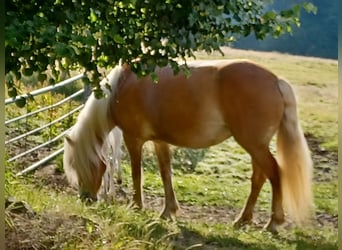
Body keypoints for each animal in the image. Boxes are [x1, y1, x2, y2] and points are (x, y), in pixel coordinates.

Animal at [63, 59, 312, 232]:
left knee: (275, 173)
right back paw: (243, 220)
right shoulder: (160, 141)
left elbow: (136, 174)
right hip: (256, 146)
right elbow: (166, 172)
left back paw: (273, 222)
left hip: (254, 145)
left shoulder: (133, 139)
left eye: (80, 166)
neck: (123, 86)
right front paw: (168, 211)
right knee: (258, 178)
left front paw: (136, 206)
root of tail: (276, 81)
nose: (85, 199)